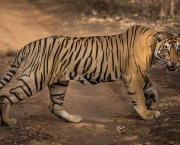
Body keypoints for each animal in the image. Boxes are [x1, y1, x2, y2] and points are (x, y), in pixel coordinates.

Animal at [0, 25, 180, 125]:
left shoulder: (140, 73)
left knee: (55, 106)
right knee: (5, 97)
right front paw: (146, 114)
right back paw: (7, 122)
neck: (153, 49)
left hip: (59, 83)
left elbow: (151, 87)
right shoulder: (133, 74)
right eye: (167, 49)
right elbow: (139, 96)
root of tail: (30, 44)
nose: (175, 63)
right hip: (34, 78)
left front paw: (153, 103)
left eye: (178, 49)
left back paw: (73, 119)